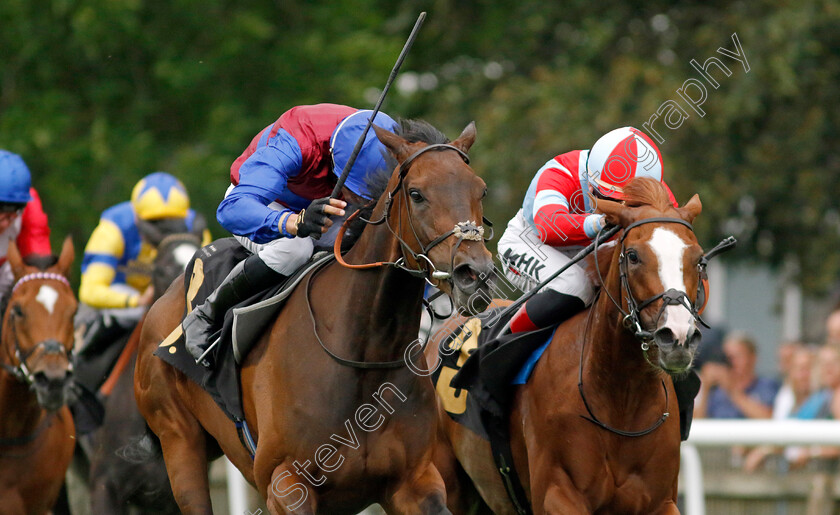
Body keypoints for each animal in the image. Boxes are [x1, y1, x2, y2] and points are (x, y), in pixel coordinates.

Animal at [135, 119, 496, 512]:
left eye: (481, 190)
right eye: (416, 194)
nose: (474, 273)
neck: (363, 353)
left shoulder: (414, 481)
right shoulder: (286, 483)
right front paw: (310, 218)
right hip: (179, 441)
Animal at [430, 178, 704, 515]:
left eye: (699, 259)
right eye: (633, 256)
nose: (677, 336)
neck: (621, 401)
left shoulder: (661, 501)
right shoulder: (559, 494)